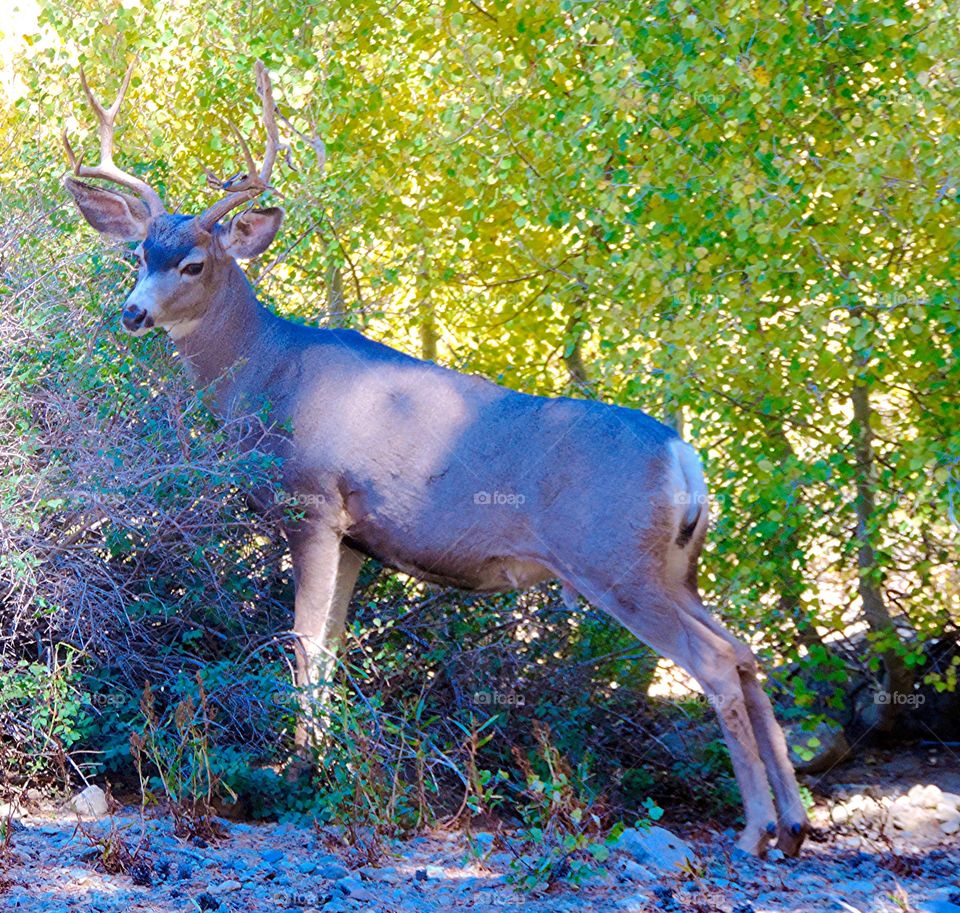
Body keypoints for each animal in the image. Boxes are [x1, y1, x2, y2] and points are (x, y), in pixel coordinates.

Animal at [62, 59, 810, 858]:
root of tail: (682, 456)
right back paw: (796, 824)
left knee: (716, 662)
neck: (266, 372)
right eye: (141, 253)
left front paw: (299, 770)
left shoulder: (313, 504)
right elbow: (331, 649)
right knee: (745, 650)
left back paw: (756, 828)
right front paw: (322, 759)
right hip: (674, 566)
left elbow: (304, 646)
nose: (132, 312)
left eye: (195, 263)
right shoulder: (356, 536)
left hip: (614, 559)